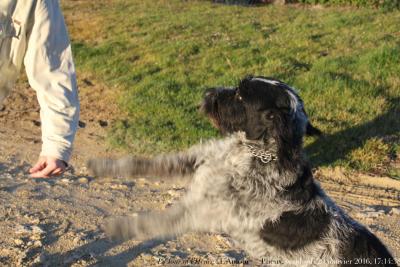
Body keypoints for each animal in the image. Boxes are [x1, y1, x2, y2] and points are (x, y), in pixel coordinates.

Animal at [87, 76, 396, 267]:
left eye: (239, 95)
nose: (207, 93)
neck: (252, 153)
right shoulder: (198, 161)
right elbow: (144, 162)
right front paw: (102, 166)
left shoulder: (208, 210)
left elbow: (159, 220)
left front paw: (121, 227)